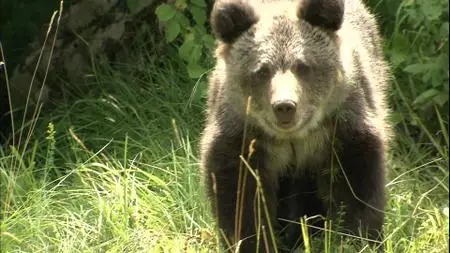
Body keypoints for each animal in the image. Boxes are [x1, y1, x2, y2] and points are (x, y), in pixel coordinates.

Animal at [199, 0, 392, 251]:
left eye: (303, 66)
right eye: (262, 70)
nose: (284, 106)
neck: (294, 136)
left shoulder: (342, 128)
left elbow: (356, 186)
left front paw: (356, 237)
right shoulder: (244, 135)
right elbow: (241, 196)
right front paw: (255, 241)